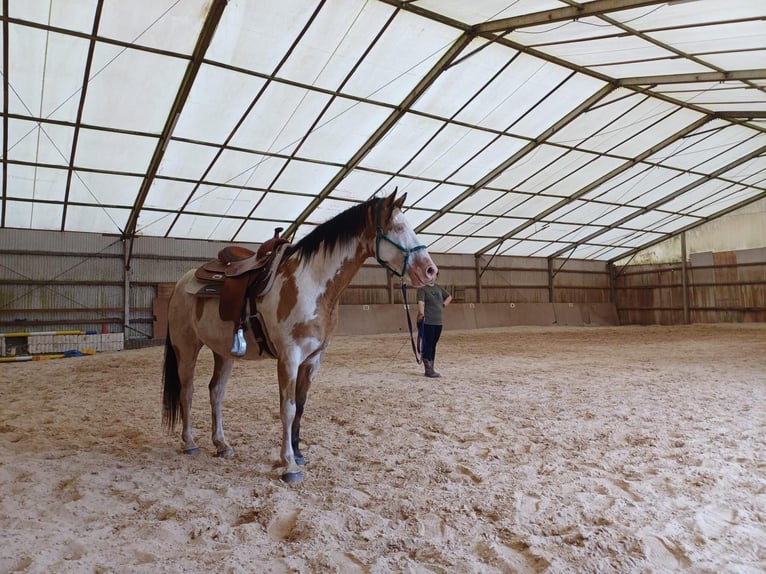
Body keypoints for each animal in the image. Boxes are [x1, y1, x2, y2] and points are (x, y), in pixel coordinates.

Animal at [162, 190, 438, 482]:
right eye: (398, 228)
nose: (430, 271)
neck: (310, 283)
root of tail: (182, 283)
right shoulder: (289, 357)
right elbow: (288, 408)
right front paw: (289, 465)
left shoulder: (313, 359)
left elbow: (301, 408)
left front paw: (298, 453)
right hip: (186, 347)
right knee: (188, 391)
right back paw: (190, 442)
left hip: (223, 352)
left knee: (216, 392)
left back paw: (222, 445)